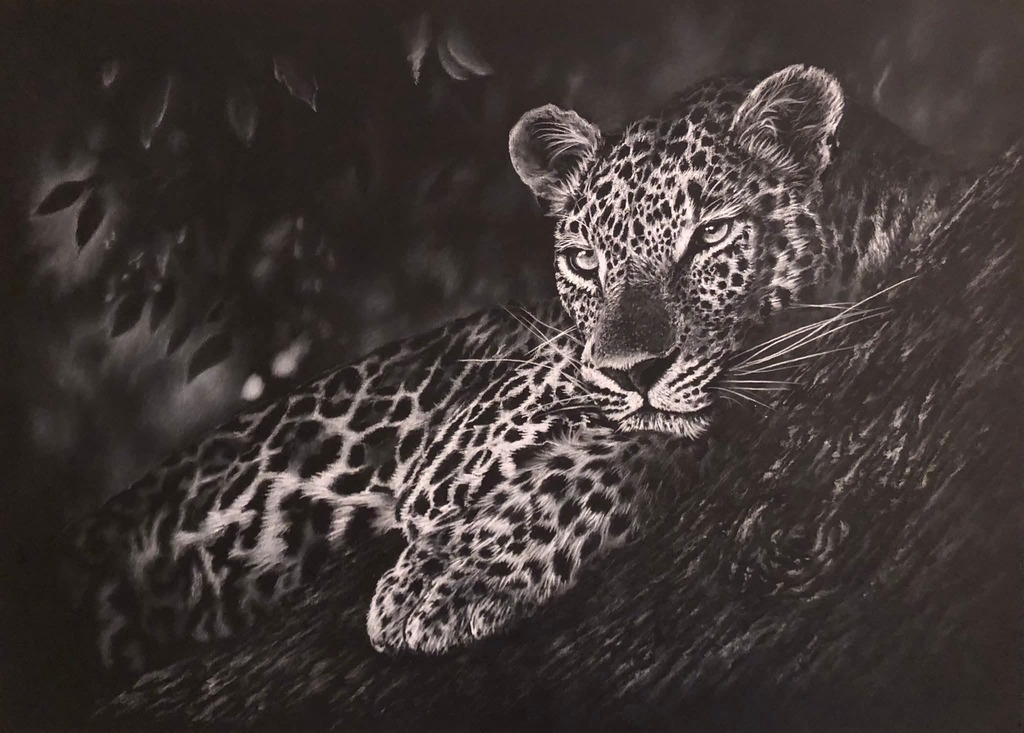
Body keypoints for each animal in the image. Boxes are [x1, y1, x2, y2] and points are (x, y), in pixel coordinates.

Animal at [62, 65, 969, 677]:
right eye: (582, 261)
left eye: (709, 237)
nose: (633, 369)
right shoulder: (466, 432)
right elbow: (616, 414)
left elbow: (654, 435)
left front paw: (445, 579)